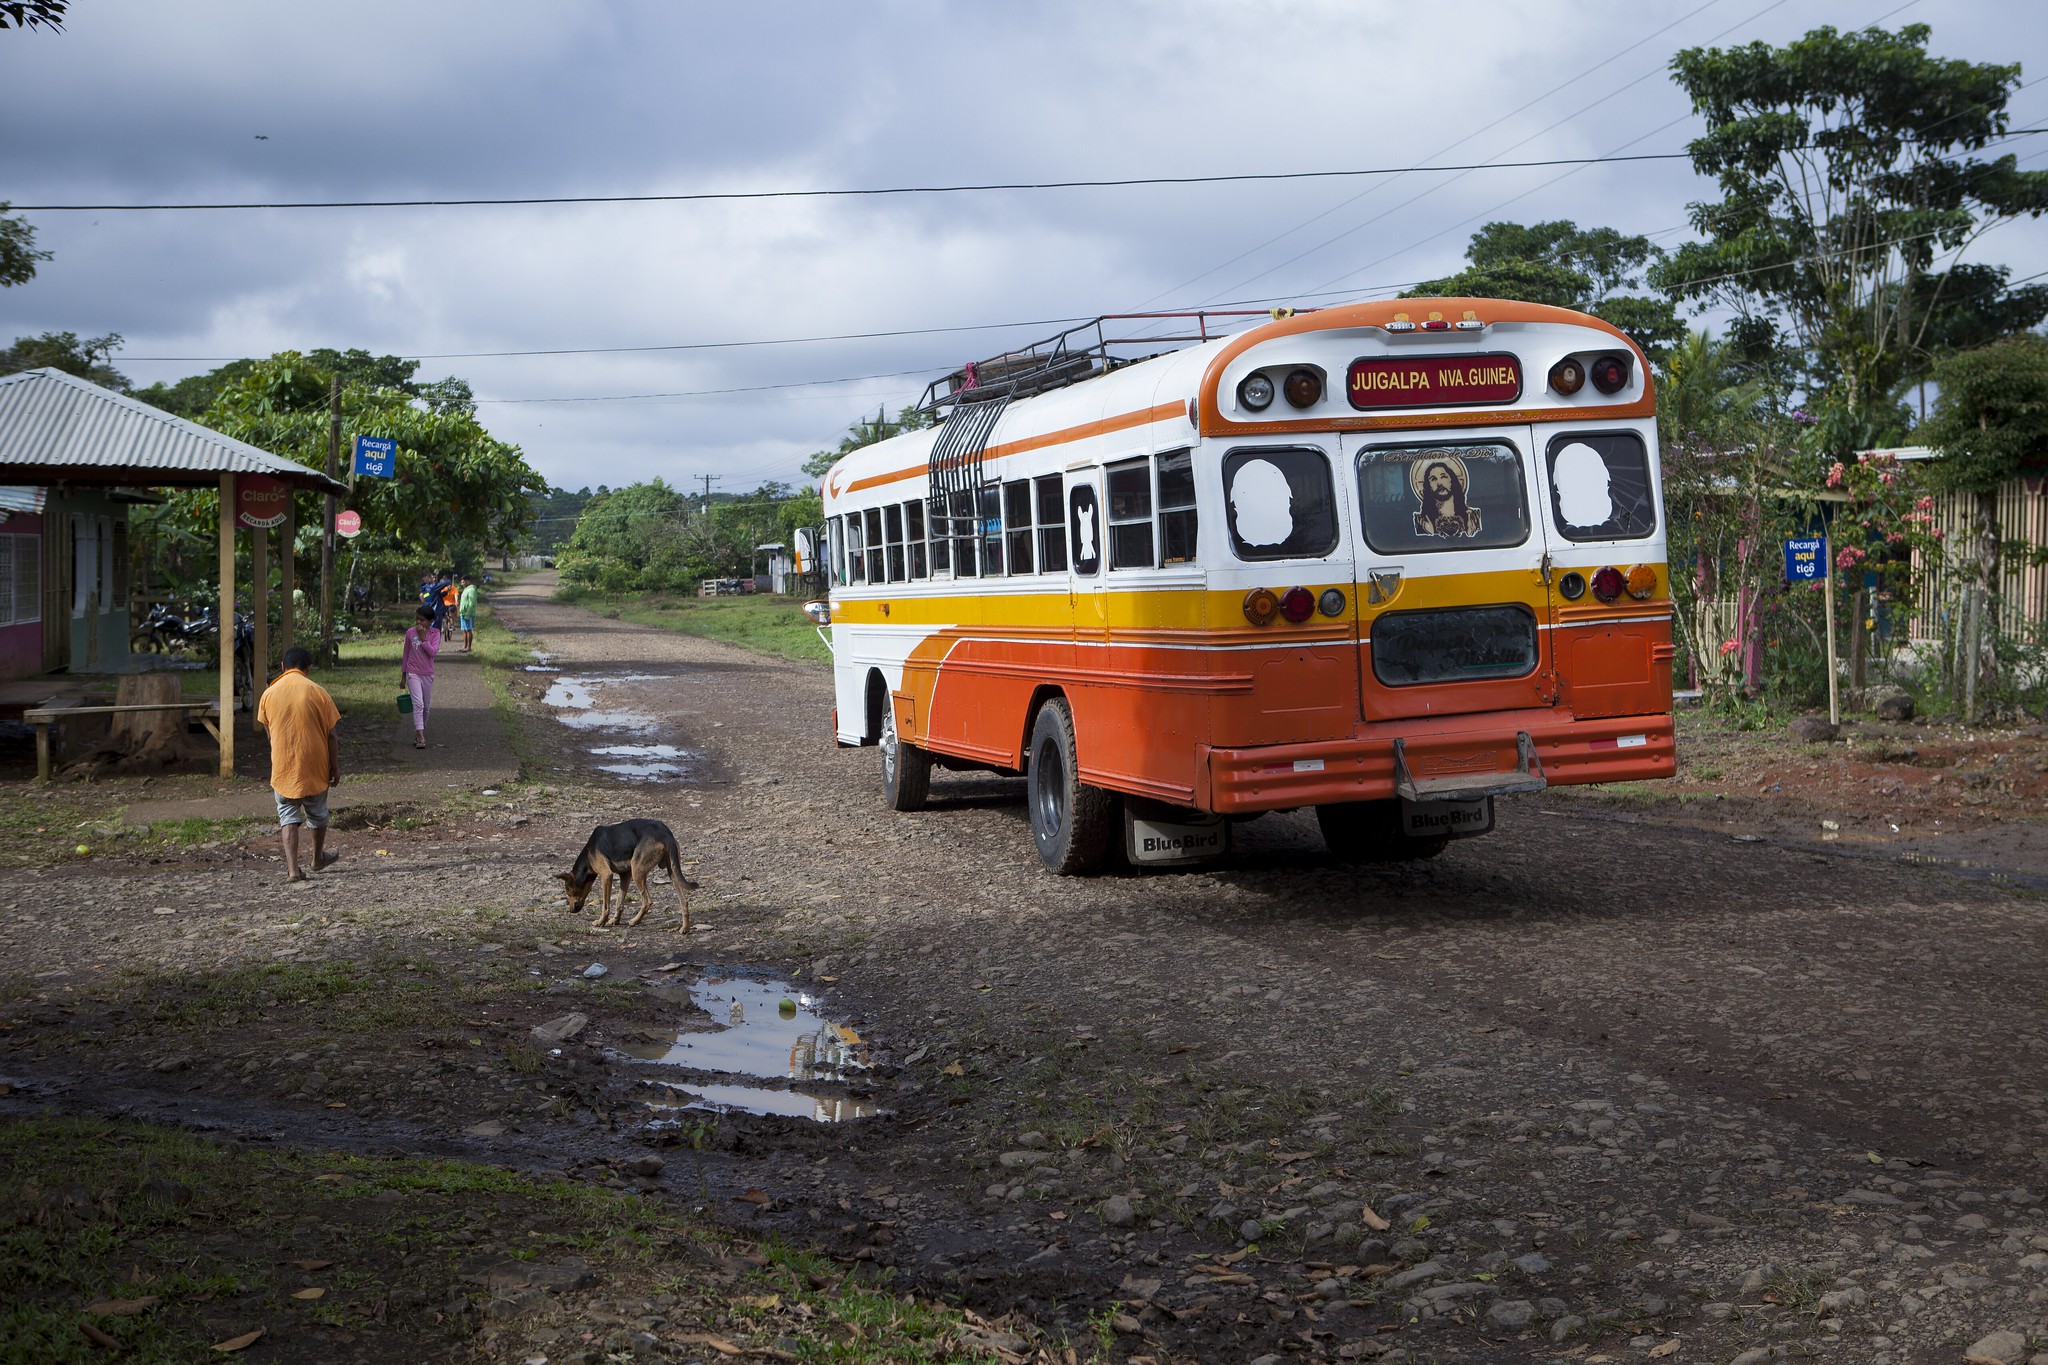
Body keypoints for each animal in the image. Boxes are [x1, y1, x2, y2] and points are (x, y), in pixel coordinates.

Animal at [557, 818, 700, 933]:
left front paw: (601, 922)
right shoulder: (625, 875)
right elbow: (619, 902)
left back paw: (635, 921)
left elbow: (606, 905)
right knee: (684, 902)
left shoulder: (606, 875)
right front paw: (615, 920)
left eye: (569, 893)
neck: (588, 854)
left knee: (647, 901)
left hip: (638, 872)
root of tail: (665, 833)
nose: (571, 911)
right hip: (672, 872)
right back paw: (685, 928)